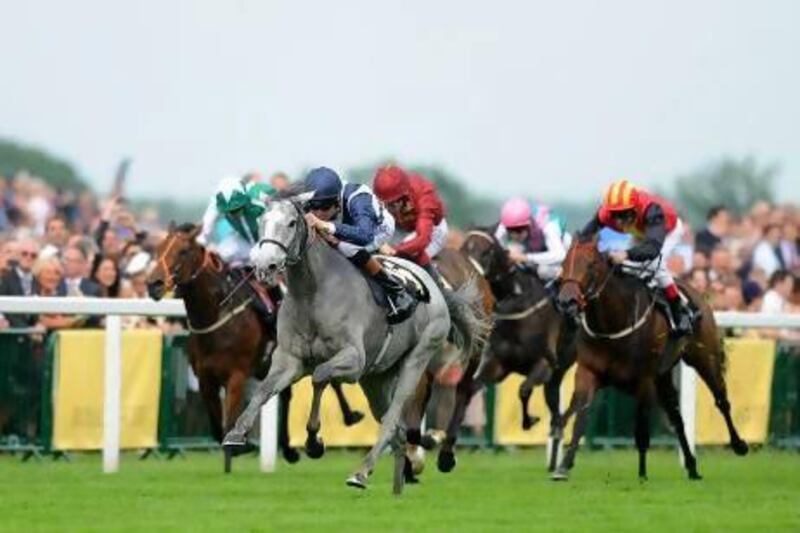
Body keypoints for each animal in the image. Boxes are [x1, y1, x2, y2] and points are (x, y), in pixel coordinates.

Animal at [148, 222, 364, 472]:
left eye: (183, 251)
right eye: (159, 248)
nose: (153, 284)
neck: (217, 317)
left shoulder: (237, 375)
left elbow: (229, 420)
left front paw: (240, 446)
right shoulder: (205, 378)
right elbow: (216, 427)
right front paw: (236, 449)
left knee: (329, 382)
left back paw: (349, 416)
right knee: (288, 395)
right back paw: (289, 449)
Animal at [462, 227, 576, 468]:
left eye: (486, 251)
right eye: (464, 246)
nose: (470, 273)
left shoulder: (543, 365)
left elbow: (523, 389)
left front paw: (529, 420)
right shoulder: (497, 365)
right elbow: (474, 385)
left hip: (559, 371)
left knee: (557, 413)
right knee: (555, 413)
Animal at [552, 236, 748, 478]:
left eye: (590, 265)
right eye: (563, 264)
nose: (566, 302)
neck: (613, 322)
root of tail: (697, 294)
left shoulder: (644, 379)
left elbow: (642, 429)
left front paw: (642, 474)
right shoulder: (589, 372)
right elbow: (581, 416)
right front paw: (563, 465)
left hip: (705, 358)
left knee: (721, 400)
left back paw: (738, 444)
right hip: (663, 376)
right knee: (676, 417)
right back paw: (691, 465)